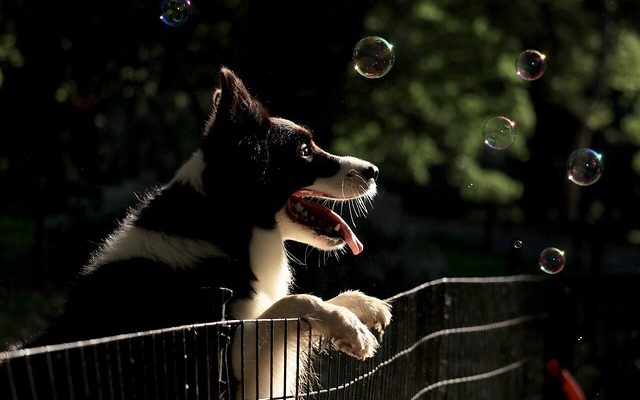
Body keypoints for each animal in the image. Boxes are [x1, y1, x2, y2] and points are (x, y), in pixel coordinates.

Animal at [30, 65, 390, 396]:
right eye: (304, 151)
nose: (374, 171)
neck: (223, 226)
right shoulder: (219, 362)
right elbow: (292, 302)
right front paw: (347, 325)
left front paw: (360, 304)